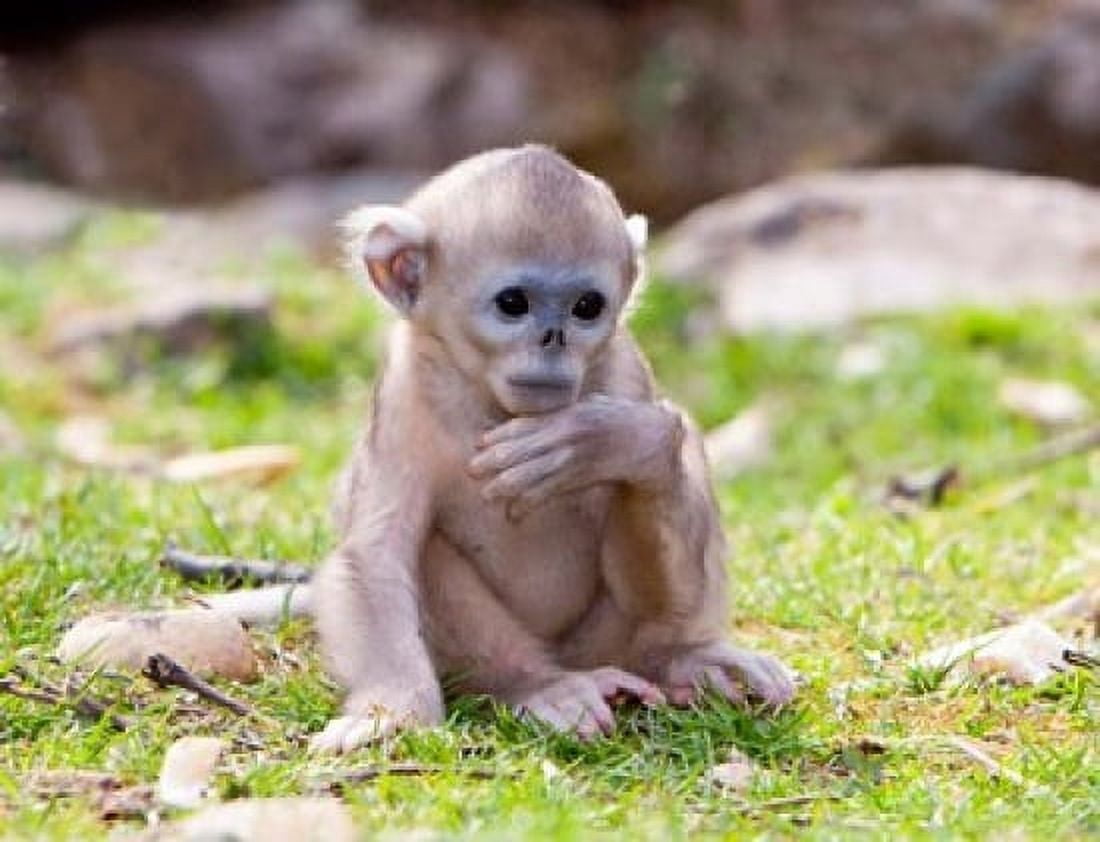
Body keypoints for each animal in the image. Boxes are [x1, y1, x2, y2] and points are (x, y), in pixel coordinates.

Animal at [309, 145, 795, 753]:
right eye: (513, 303)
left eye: (587, 306)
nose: (554, 340)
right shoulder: (405, 395)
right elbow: (375, 553)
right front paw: (392, 711)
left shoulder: (627, 374)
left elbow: (657, 450)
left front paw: (605, 441)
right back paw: (537, 685)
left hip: (604, 643)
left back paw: (680, 658)